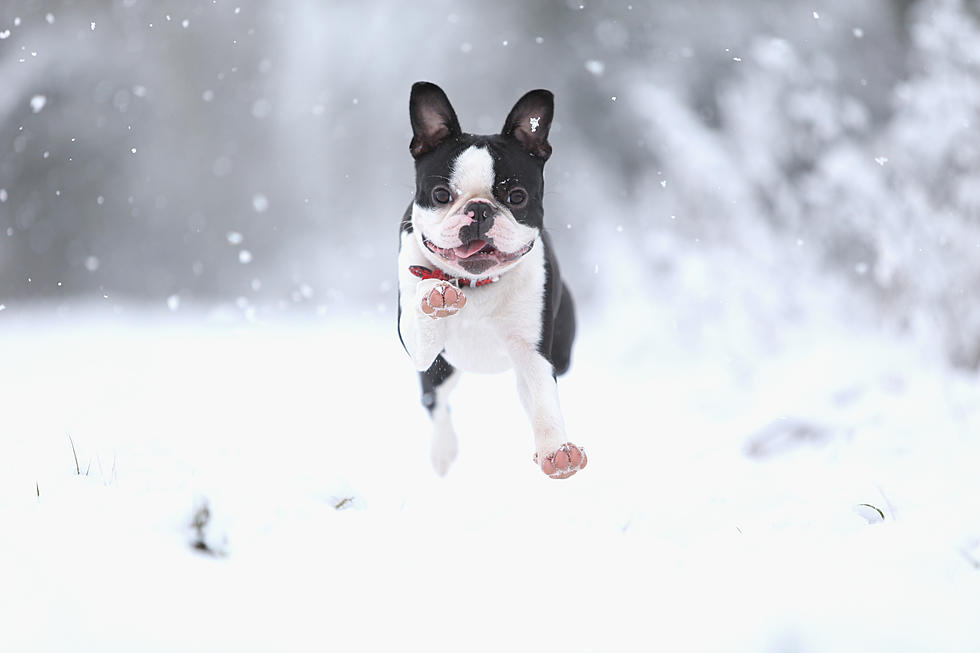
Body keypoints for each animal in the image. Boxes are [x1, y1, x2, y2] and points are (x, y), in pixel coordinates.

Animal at [394, 83, 584, 478]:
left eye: (517, 197)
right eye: (441, 195)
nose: (480, 210)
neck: (473, 284)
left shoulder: (533, 350)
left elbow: (543, 398)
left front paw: (556, 450)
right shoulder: (419, 348)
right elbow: (424, 315)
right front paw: (434, 295)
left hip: (560, 352)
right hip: (441, 370)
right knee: (435, 401)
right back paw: (443, 451)